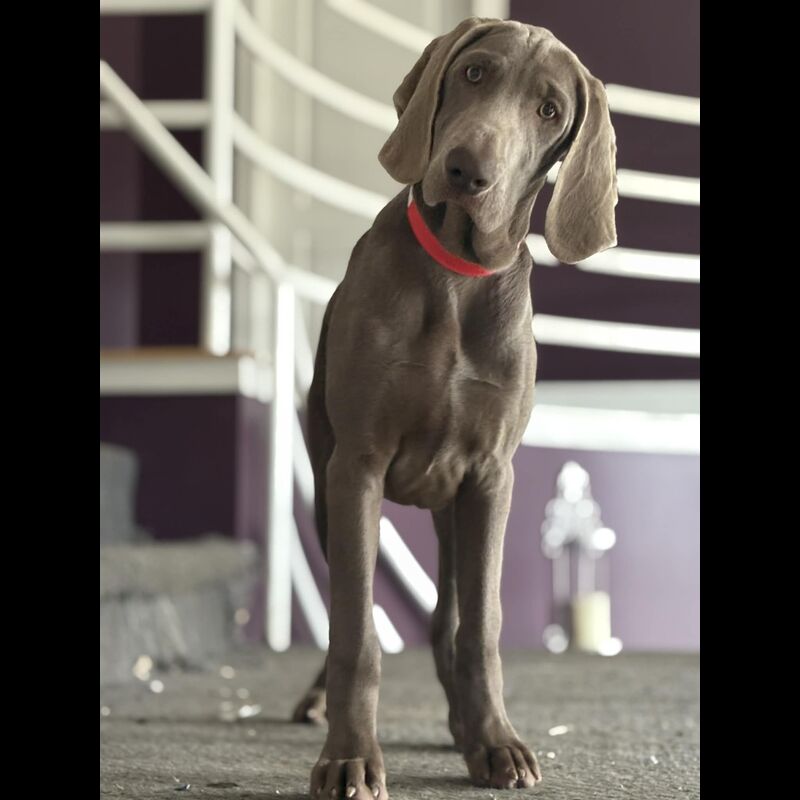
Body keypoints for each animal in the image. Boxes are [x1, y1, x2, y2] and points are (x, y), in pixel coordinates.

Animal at [291, 16, 617, 798]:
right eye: (474, 73)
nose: (469, 171)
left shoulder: (491, 476)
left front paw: (494, 740)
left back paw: (466, 725)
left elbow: (484, 624)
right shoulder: (358, 466)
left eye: (550, 111)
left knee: (449, 615)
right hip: (326, 482)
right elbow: (356, 628)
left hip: (452, 508)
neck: (456, 276)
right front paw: (350, 756)